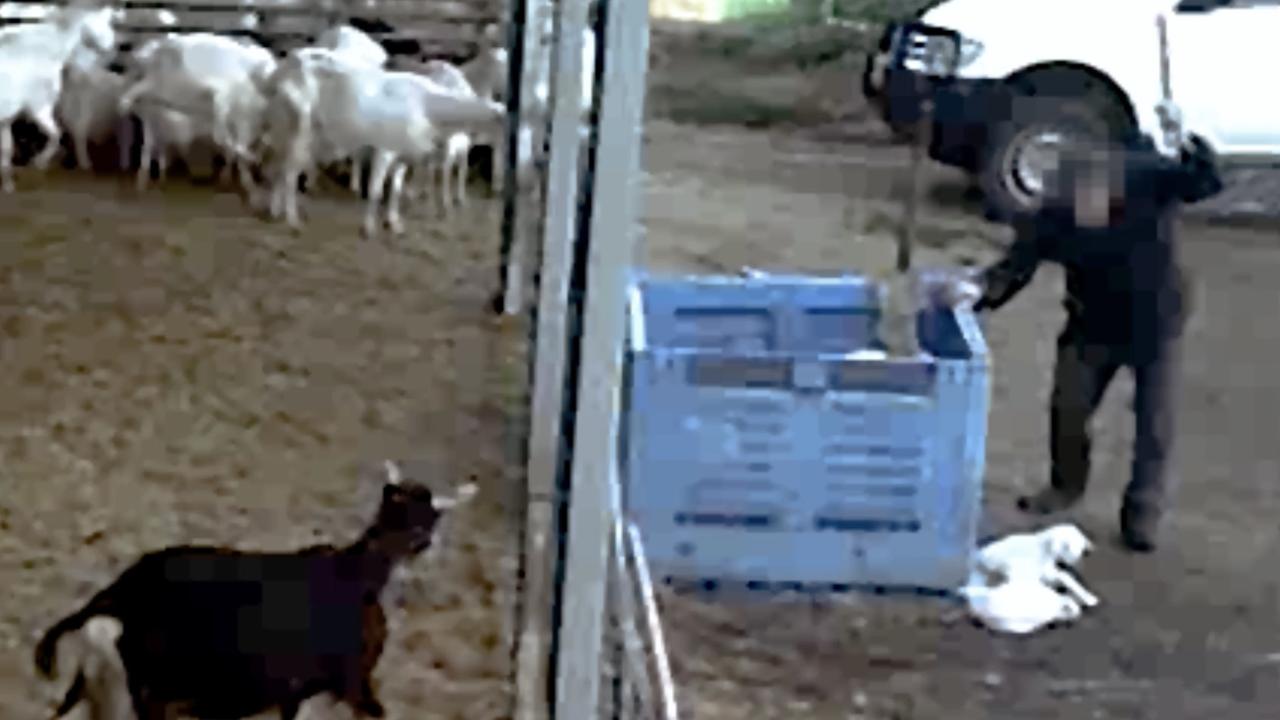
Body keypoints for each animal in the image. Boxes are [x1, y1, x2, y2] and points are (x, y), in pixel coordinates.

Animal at [0, 5, 116, 190]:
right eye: (104, 25)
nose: (109, 48)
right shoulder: (38, 109)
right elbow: (56, 135)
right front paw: (39, 162)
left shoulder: (6, 119)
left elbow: (6, 150)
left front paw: (8, 185)